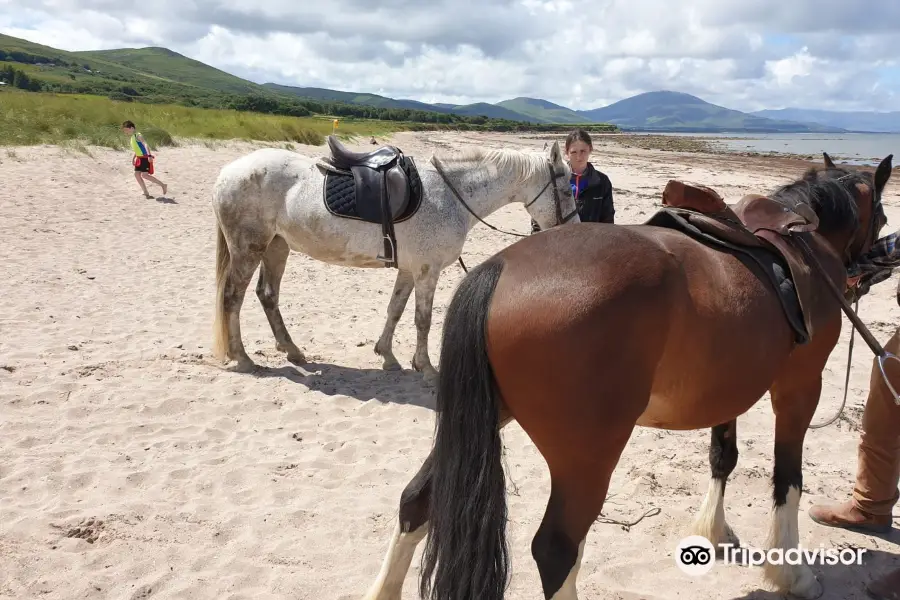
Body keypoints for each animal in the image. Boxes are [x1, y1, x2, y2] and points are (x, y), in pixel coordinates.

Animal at [209, 139, 576, 384]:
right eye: (566, 190)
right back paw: (243, 358)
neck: (452, 195)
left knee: (267, 295)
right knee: (233, 298)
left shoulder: (409, 270)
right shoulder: (427, 271)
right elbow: (423, 320)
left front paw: (387, 356)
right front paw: (426, 367)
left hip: (277, 247)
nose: (573, 227)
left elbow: (395, 310)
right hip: (249, 249)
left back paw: (293, 350)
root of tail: (227, 172)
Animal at [358, 155, 892, 600]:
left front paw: (713, 532)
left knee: (417, 500)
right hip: (588, 457)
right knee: (556, 549)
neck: (802, 243)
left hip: (483, 417)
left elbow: (723, 457)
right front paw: (791, 574)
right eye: (884, 218)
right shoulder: (800, 387)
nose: (879, 262)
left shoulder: (730, 390)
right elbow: (788, 478)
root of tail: (500, 267)